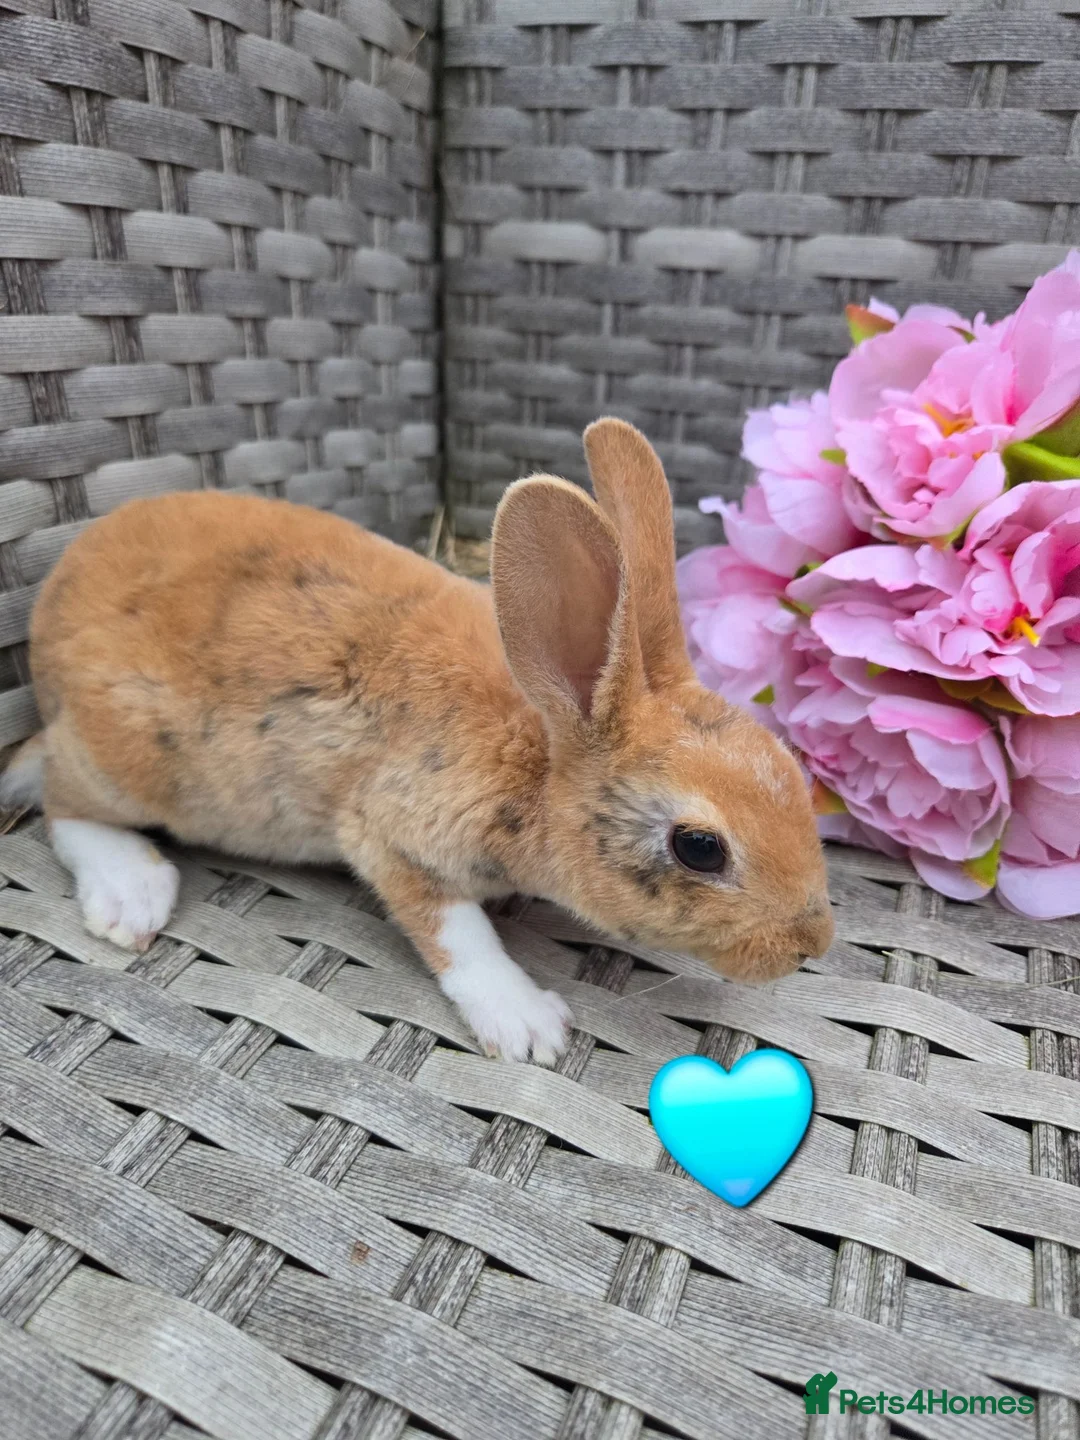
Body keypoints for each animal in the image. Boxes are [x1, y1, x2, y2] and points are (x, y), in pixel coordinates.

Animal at [1, 418, 834, 1064]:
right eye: (700, 848)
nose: (811, 945)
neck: (538, 751)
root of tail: (45, 630)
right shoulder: (390, 835)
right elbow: (458, 932)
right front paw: (529, 1026)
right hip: (131, 758)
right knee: (62, 802)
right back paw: (130, 895)